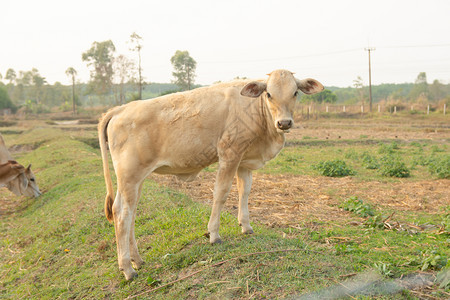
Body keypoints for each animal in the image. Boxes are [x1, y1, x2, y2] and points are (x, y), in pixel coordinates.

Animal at [99, 69, 324, 280]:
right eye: (269, 94)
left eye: (295, 92)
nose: (284, 123)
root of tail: (121, 109)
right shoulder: (229, 154)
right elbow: (221, 194)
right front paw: (214, 234)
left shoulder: (244, 161)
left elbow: (245, 192)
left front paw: (246, 226)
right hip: (130, 176)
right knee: (122, 214)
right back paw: (127, 268)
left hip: (135, 181)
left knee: (130, 213)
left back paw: (137, 260)